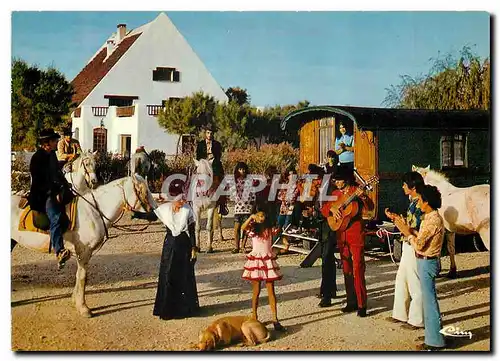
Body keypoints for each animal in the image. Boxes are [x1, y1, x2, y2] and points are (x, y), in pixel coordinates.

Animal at [12, 173, 156, 316]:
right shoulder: (84, 251)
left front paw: (75, 300)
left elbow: (79, 276)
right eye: (143, 191)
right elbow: (82, 277)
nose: (154, 213)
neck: (94, 211)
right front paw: (83, 307)